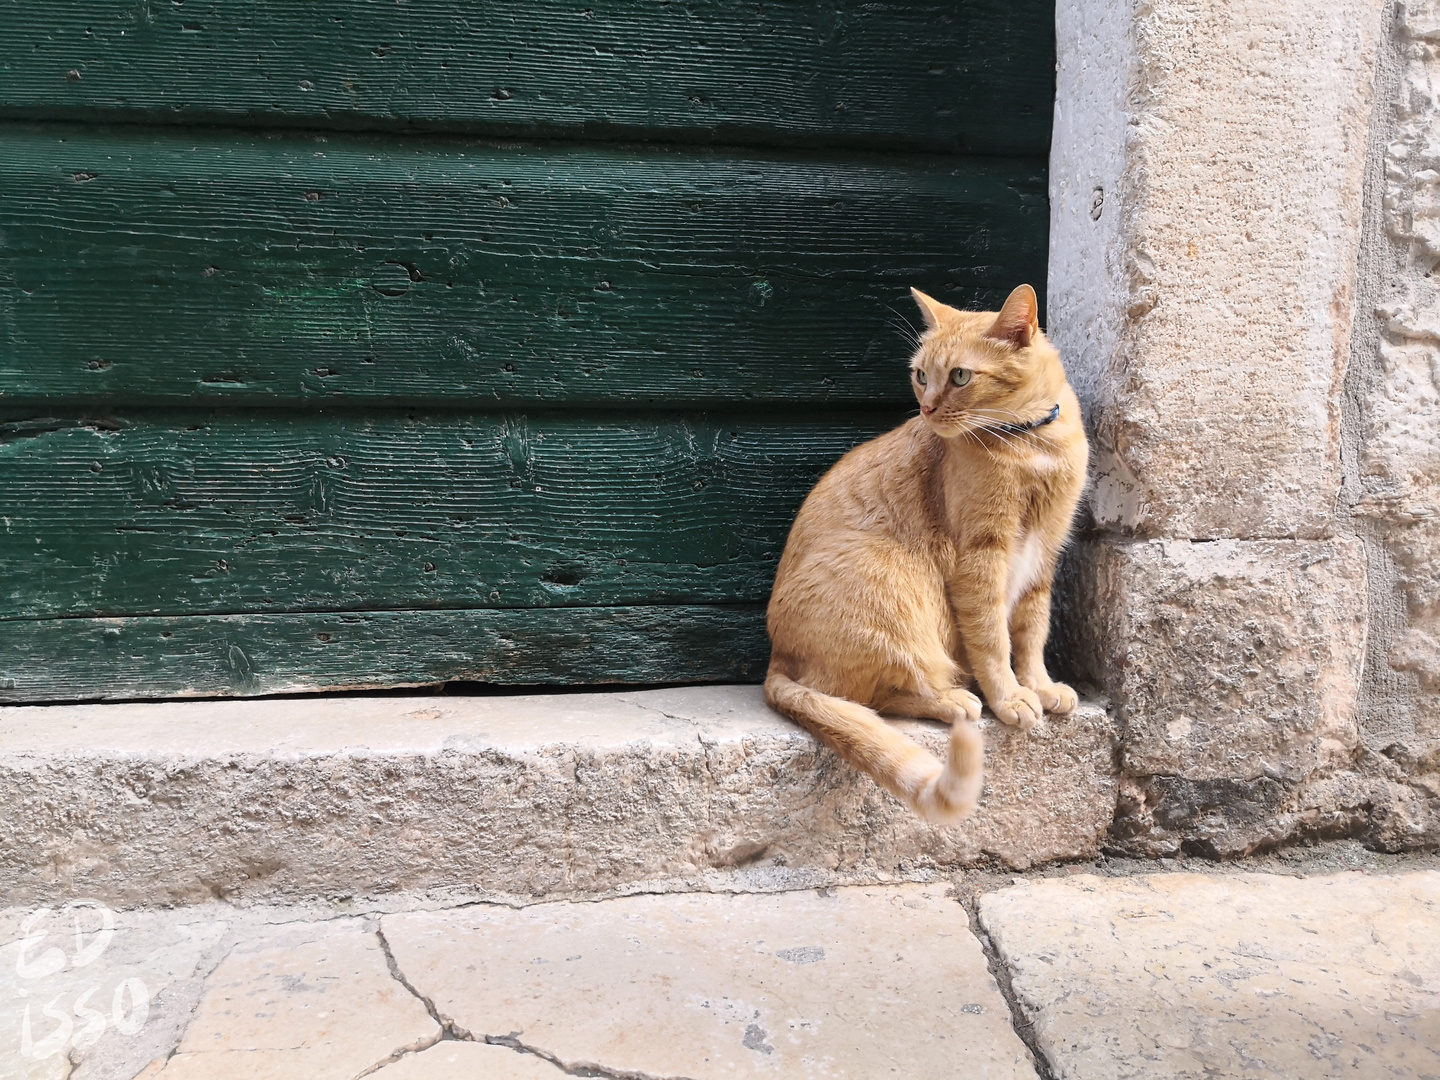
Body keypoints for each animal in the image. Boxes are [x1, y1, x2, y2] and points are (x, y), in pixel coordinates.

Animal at [766, 283, 1082, 823]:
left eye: (959, 376)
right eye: (921, 376)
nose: (928, 409)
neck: (1034, 444)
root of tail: (775, 659)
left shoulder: (1044, 557)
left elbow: (1031, 634)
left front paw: (1038, 684)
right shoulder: (980, 560)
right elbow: (993, 639)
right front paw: (1010, 697)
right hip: (895, 582)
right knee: (871, 695)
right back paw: (955, 702)